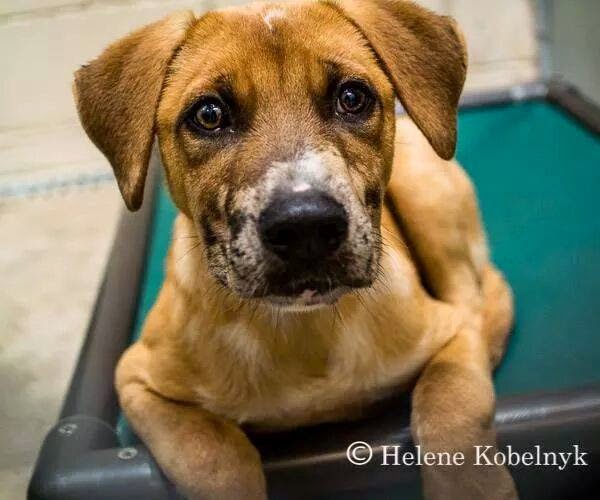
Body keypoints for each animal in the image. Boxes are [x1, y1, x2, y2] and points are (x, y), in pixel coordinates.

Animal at [74, 1, 517, 498]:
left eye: (352, 97)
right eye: (208, 114)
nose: (306, 226)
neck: (302, 331)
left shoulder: (453, 336)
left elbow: (449, 405)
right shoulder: (139, 382)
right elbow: (214, 456)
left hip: (425, 186)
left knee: (476, 296)